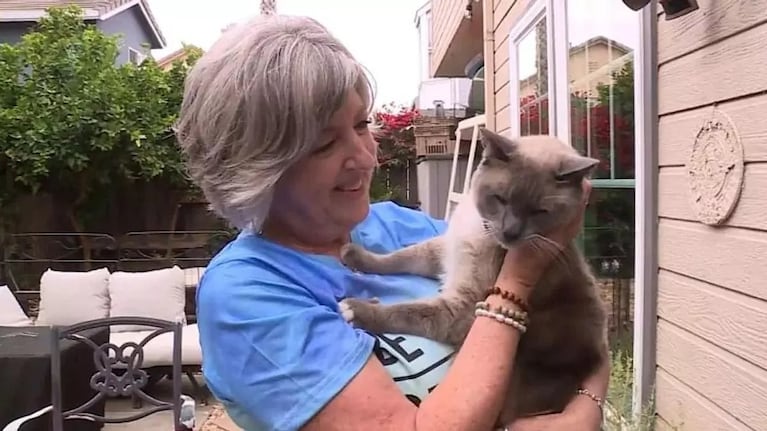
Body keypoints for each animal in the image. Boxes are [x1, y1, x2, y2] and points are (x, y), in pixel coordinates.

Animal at [340, 128, 608, 426]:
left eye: (539, 212)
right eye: (500, 199)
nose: (511, 232)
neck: (481, 231)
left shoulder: (463, 307)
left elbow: (406, 311)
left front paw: (353, 308)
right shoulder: (444, 252)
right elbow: (400, 257)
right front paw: (353, 255)